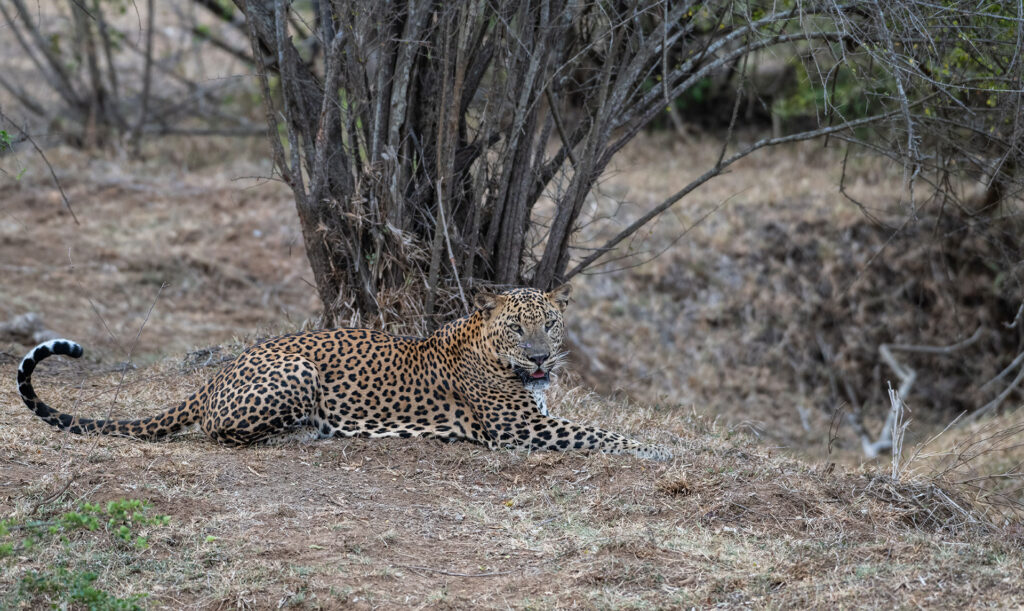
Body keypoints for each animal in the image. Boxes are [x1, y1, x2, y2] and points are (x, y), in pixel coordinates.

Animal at [18, 284, 671, 460]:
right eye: (517, 328)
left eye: (550, 326)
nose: (539, 358)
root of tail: (214, 377)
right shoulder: (520, 429)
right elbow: (598, 434)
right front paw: (657, 449)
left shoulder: (534, 417)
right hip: (296, 372)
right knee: (220, 433)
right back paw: (307, 434)